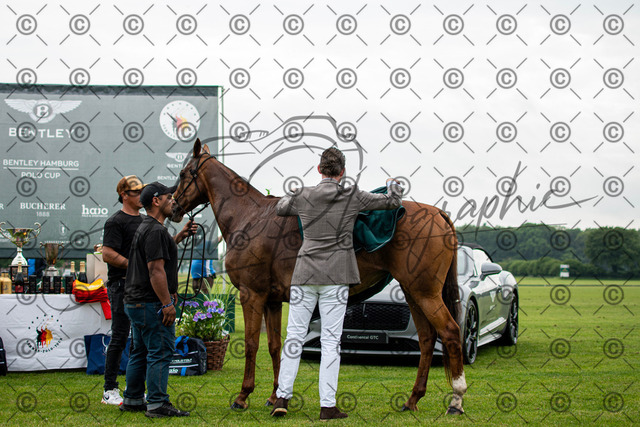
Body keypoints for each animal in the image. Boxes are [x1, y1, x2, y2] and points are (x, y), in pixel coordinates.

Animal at [171, 138, 467, 414]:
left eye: (184, 173)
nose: (172, 207)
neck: (250, 217)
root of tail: (438, 213)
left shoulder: (251, 295)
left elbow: (252, 344)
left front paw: (243, 396)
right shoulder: (272, 301)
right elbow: (274, 346)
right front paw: (274, 396)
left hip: (424, 293)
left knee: (451, 332)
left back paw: (456, 399)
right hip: (412, 291)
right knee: (427, 338)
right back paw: (413, 399)